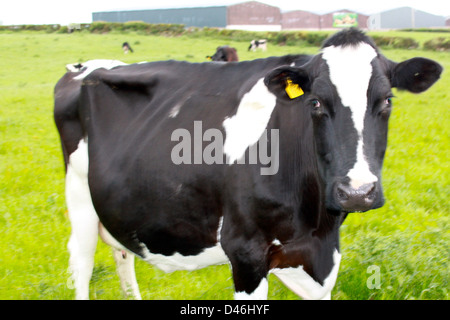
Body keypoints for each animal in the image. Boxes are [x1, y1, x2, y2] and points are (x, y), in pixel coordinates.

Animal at [53, 28, 442, 300]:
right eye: (315, 102)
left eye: (387, 100)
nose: (357, 192)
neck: (315, 220)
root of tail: (83, 67)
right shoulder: (246, 253)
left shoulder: (322, 257)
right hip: (79, 198)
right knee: (81, 264)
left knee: (123, 254)